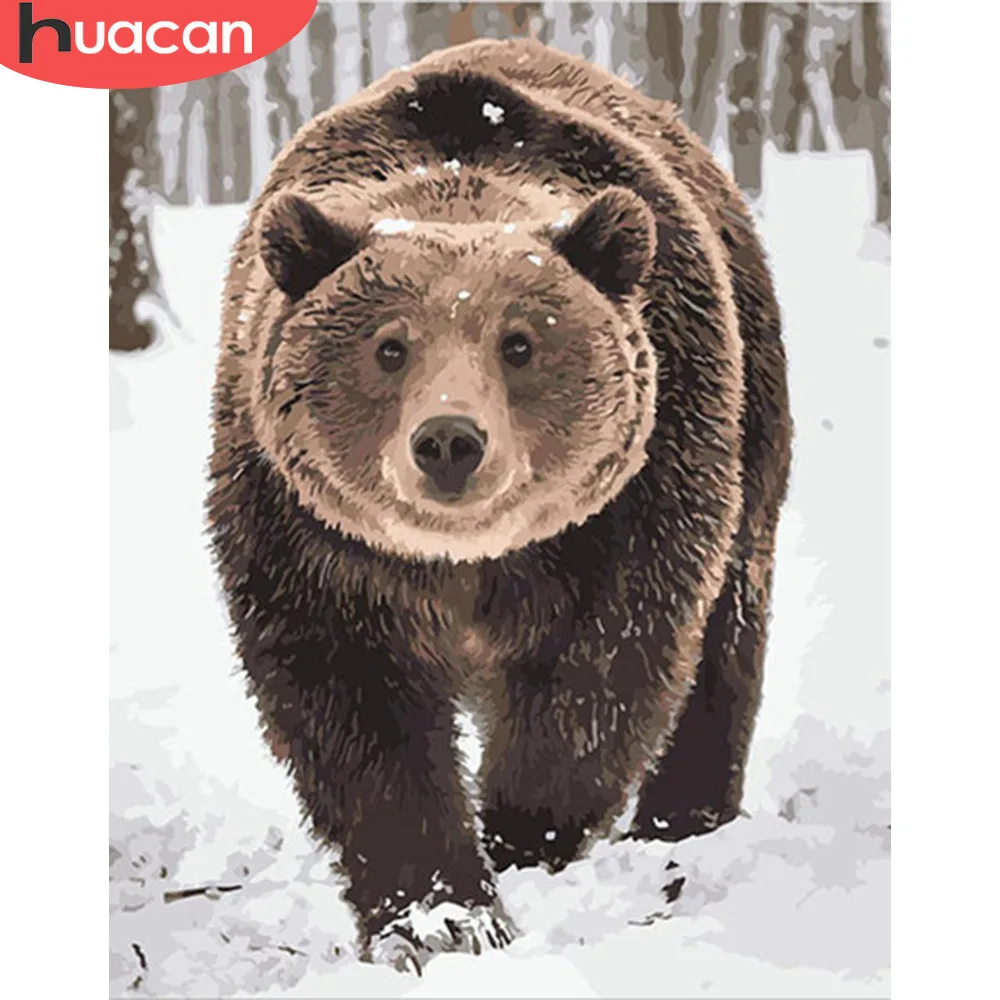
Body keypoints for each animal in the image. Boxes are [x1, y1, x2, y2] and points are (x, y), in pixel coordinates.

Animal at [206, 36, 791, 970]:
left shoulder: (635, 499)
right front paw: (440, 916)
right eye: (390, 346)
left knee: (727, 636)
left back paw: (683, 822)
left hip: (753, 416)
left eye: (520, 343)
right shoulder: (304, 532)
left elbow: (602, 673)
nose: (450, 440)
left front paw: (519, 837)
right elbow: (355, 712)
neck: (466, 562)